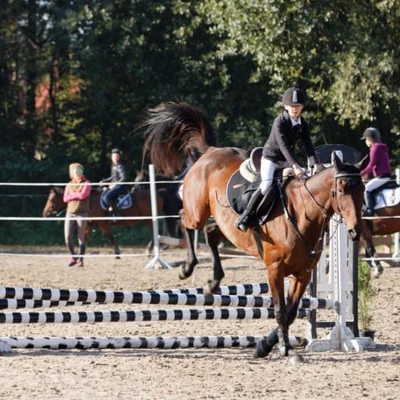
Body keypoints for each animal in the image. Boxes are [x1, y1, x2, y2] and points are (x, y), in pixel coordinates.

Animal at [41, 186, 174, 255]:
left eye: (52, 199)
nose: (44, 213)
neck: (90, 202)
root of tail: (158, 193)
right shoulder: (89, 226)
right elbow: (84, 239)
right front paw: (81, 254)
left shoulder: (103, 225)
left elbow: (110, 238)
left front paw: (117, 252)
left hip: (149, 220)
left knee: (155, 234)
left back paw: (149, 249)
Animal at [141, 101, 368, 362]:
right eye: (341, 189)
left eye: (362, 189)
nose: (355, 231)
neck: (303, 212)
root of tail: (210, 152)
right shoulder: (275, 269)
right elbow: (280, 310)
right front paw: (287, 350)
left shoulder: (303, 273)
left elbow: (291, 312)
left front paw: (265, 346)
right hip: (197, 210)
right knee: (185, 222)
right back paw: (187, 268)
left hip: (225, 224)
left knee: (211, 234)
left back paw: (212, 284)